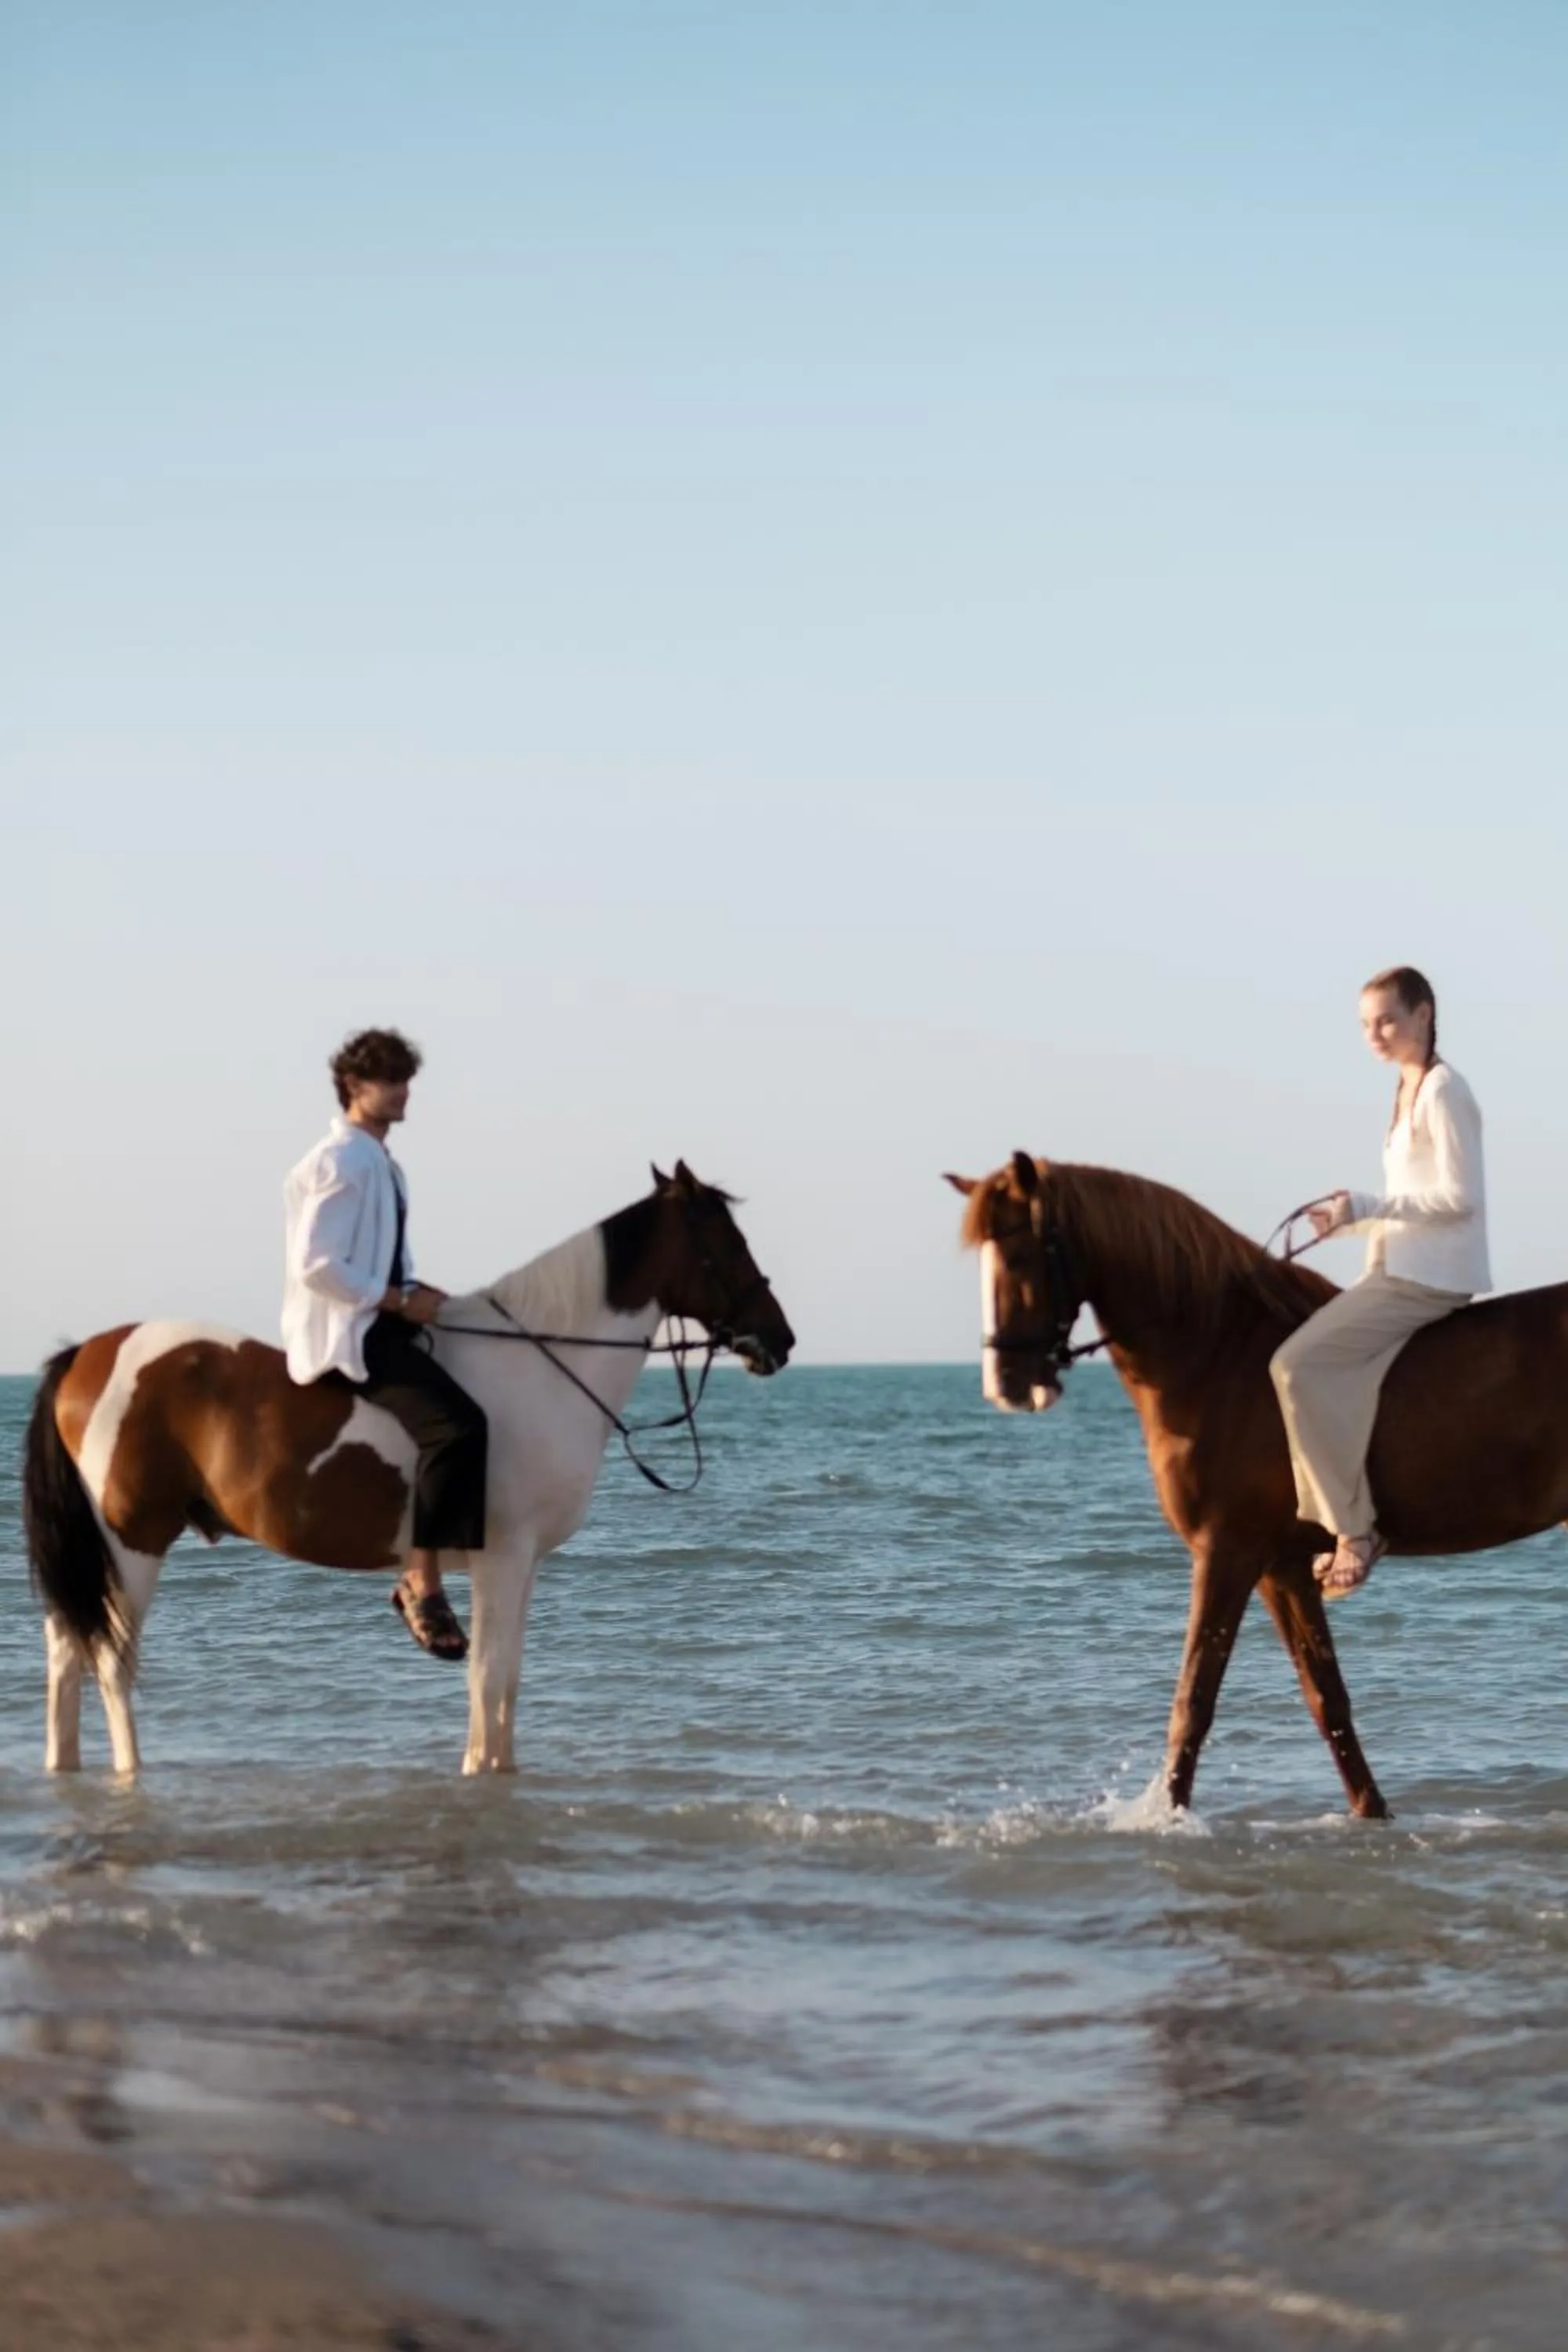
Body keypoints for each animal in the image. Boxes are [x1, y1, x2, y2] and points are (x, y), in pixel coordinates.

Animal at [23, 1161, 794, 1778]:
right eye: (728, 1243)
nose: (781, 1340)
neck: (542, 1362)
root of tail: (85, 1354)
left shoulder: (524, 1563)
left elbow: (509, 1679)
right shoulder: (501, 1556)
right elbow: (488, 1678)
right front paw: (480, 1773)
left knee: (65, 1651)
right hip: (131, 1544)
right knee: (108, 1660)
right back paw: (131, 1773)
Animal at [946, 1152, 1568, 1819]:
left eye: (1019, 1253)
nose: (1005, 1383)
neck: (1221, 1356)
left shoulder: (1226, 1553)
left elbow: (1193, 1701)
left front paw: (1170, 1816)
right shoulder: (1282, 1567)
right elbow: (1326, 1699)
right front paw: (1372, 1814)